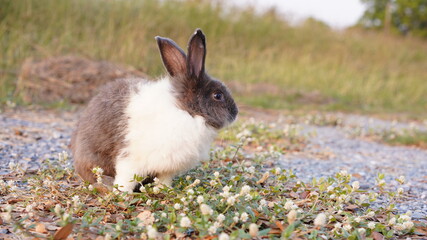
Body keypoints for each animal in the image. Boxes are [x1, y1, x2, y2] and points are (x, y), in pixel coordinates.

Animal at [70, 29, 237, 192]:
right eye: (218, 95)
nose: (235, 113)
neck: (187, 112)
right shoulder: (130, 160)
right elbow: (126, 179)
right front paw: (123, 194)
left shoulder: (167, 168)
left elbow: (164, 180)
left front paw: (165, 191)